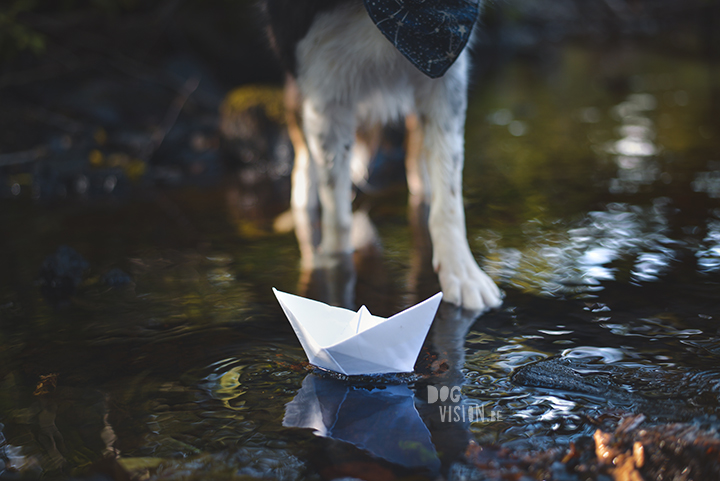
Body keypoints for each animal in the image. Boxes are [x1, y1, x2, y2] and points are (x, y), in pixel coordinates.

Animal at [258, 0, 500, 312]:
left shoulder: (445, 68)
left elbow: (448, 198)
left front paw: (462, 274)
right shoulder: (322, 85)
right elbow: (338, 217)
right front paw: (337, 297)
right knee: (304, 158)